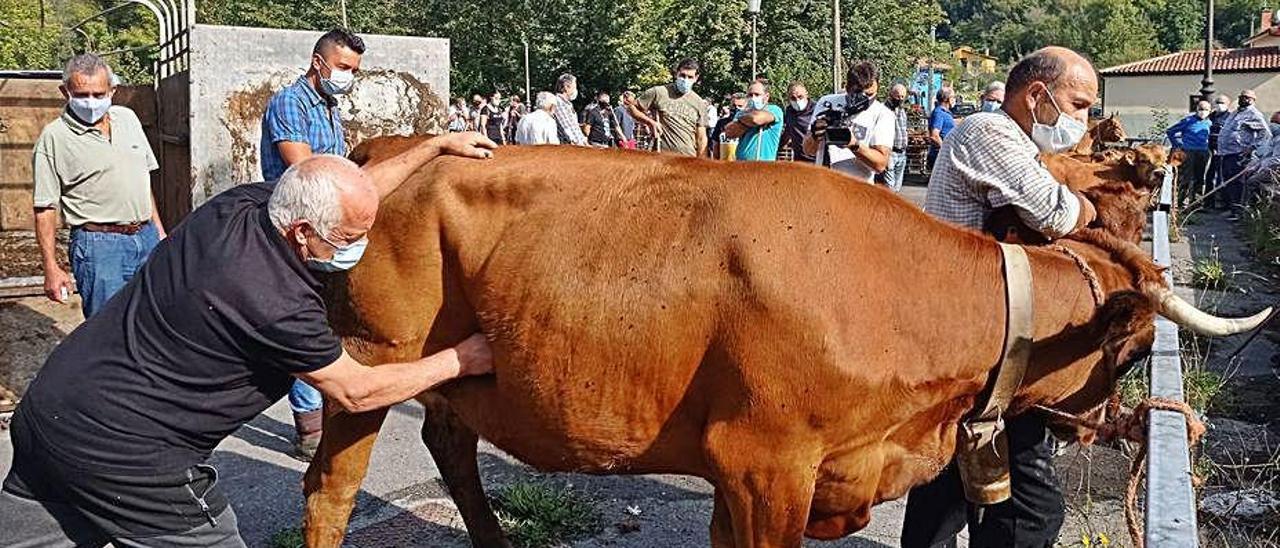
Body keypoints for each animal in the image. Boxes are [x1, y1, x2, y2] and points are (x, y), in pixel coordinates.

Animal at [302, 135, 1269, 545]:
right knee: (329, 491)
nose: (1108, 427)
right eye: (1134, 351)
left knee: (451, 446)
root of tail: (385, 146)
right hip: (371, 359)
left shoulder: (748, 471)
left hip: (453, 378)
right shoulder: (766, 461)